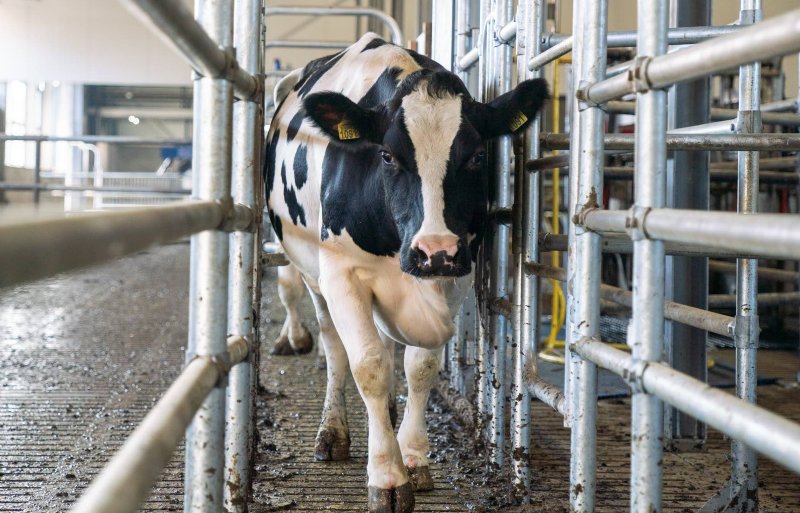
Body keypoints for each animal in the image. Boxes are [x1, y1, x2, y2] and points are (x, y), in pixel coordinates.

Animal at [266, 33, 548, 512]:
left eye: (477, 156)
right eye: (387, 155)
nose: (435, 250)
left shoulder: (456, 275)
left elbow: (420, 365)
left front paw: (413, 458)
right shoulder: (341, 274)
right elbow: (368, 366)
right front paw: (387, 476)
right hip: (313, 276)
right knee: (333, 346)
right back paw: (332, 429)